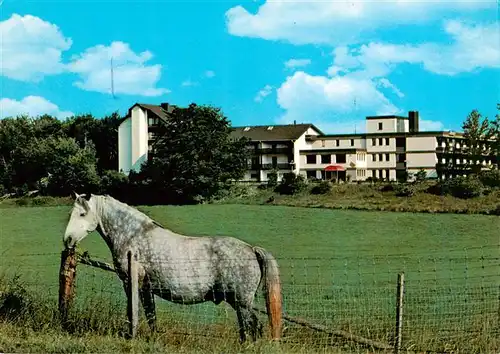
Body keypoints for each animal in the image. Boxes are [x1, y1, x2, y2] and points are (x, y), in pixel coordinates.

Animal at [62, 194, 282, 342]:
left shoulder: (133, 283)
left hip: (241, 302)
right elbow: (150, 314)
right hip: (239, 302)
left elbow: (135, 311)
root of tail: (251, 249)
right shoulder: (146, 288)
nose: (68, 240)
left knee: (251, 326)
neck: (134, 235)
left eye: (82, 213)